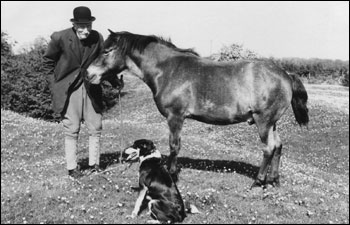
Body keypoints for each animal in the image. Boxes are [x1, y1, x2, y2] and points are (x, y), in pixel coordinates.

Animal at [87, 30, 308, 188]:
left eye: (107, 50)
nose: (88, 73)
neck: (168, 70)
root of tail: (285, 74)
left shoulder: (175, 117)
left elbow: (174, 146)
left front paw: (172, 174)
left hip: (264, 122)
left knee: (269, 148)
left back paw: (258, 181)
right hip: (272, 123)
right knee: (278, 146)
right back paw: (274, 180)